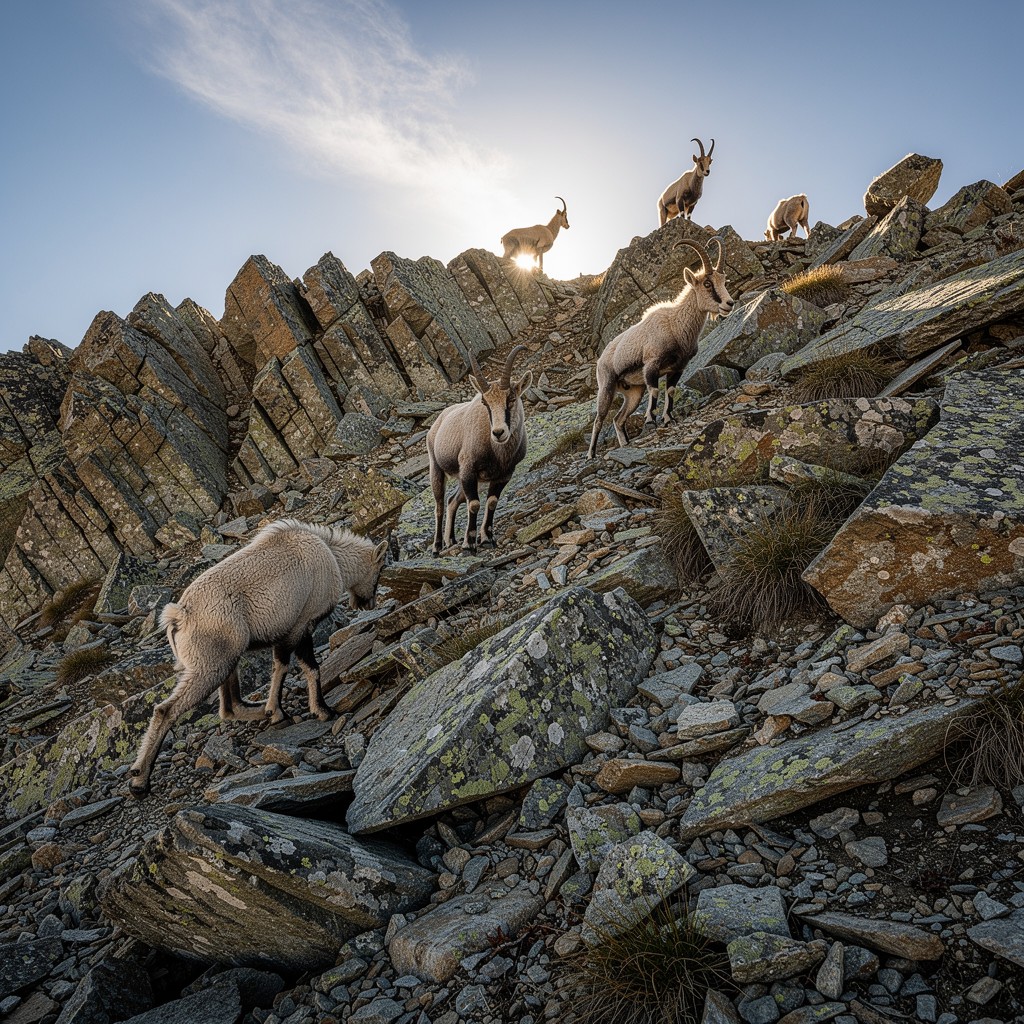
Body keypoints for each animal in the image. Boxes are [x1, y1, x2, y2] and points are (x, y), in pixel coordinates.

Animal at [128, 519, 387, 796]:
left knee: (230, 707)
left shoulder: (285, 635)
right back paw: (139, 780)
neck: (331, 555)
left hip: (228, 660)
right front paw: (320, 710)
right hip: (210, 667)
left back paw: (262, 711)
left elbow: (280, 666)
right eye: (379, 570)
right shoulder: (300, 627)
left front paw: (276, 710)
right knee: (166, 710)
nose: (368, 604)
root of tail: (179, 617)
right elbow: (306, 668)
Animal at [427, 346, 532, 555]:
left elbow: (491, 502)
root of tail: (437, 423)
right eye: (485, 403)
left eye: (511, 398)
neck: (498, 453)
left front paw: (486, 538)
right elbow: (474, 504)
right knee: (440, 505)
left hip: (463, 479)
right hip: (437, 469)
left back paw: (450, 540)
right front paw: (469, 543)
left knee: (452, 501)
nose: (498, 432)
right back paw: (437, 546)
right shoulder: (469, 469)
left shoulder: (503, 474)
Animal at [588, 238, 734, 458]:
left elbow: (670, 391)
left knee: (618, 419)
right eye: (707, 283)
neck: (676, 325)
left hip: (633, 392)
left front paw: (668, 419)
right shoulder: (651, 364)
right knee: (599, 419)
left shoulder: (678, 368)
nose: (729, 304)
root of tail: (601, 358)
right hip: (607, 386)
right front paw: (650, 421)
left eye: (724, 281)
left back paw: (625, 444)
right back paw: (591, 454)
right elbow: (655, 390)